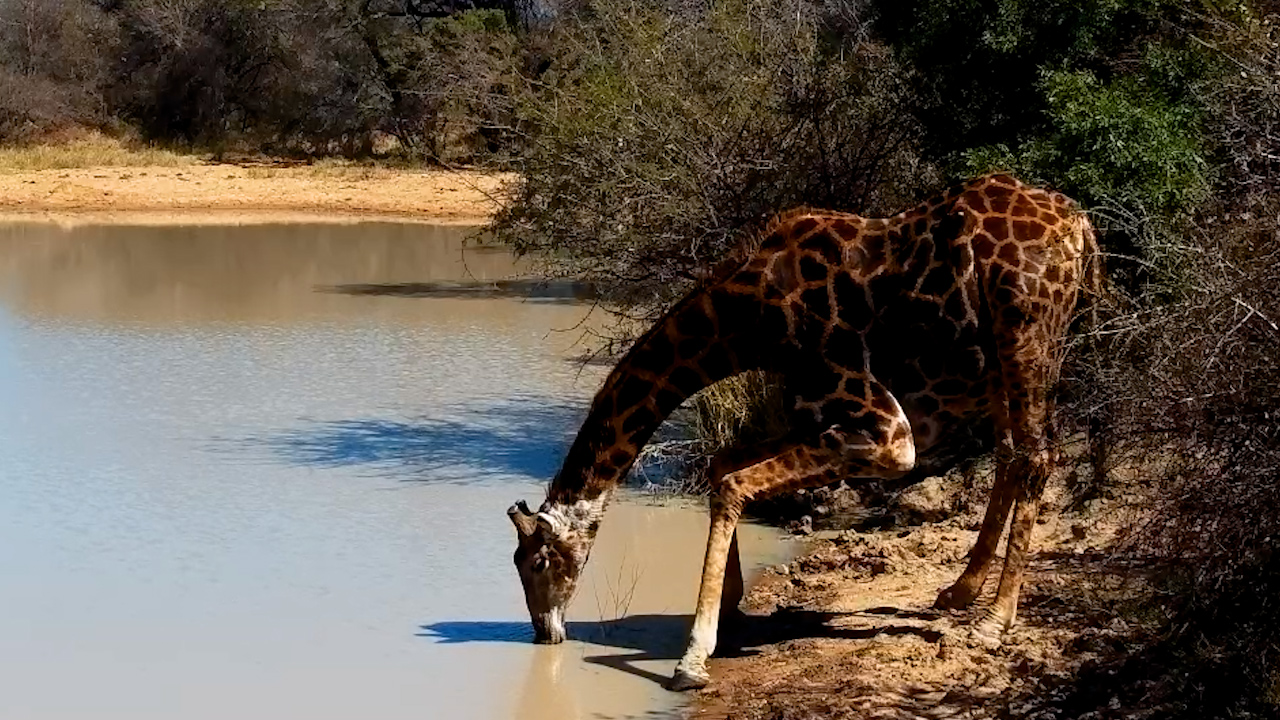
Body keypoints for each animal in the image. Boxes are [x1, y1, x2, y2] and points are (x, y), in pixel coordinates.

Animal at [507, 173, 1100, 691]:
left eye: (537, 562)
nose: (545, 635)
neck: (746, 322)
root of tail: (1079, 226)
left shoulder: (890, 434)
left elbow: (730, 485)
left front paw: (693, 657)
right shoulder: (819, 418)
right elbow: (723, 464)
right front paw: (729, 608)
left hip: (1026, 335)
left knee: (1036, 456)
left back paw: (994, 621)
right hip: (999, 367)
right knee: (1010, 454)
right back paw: (959, 592)